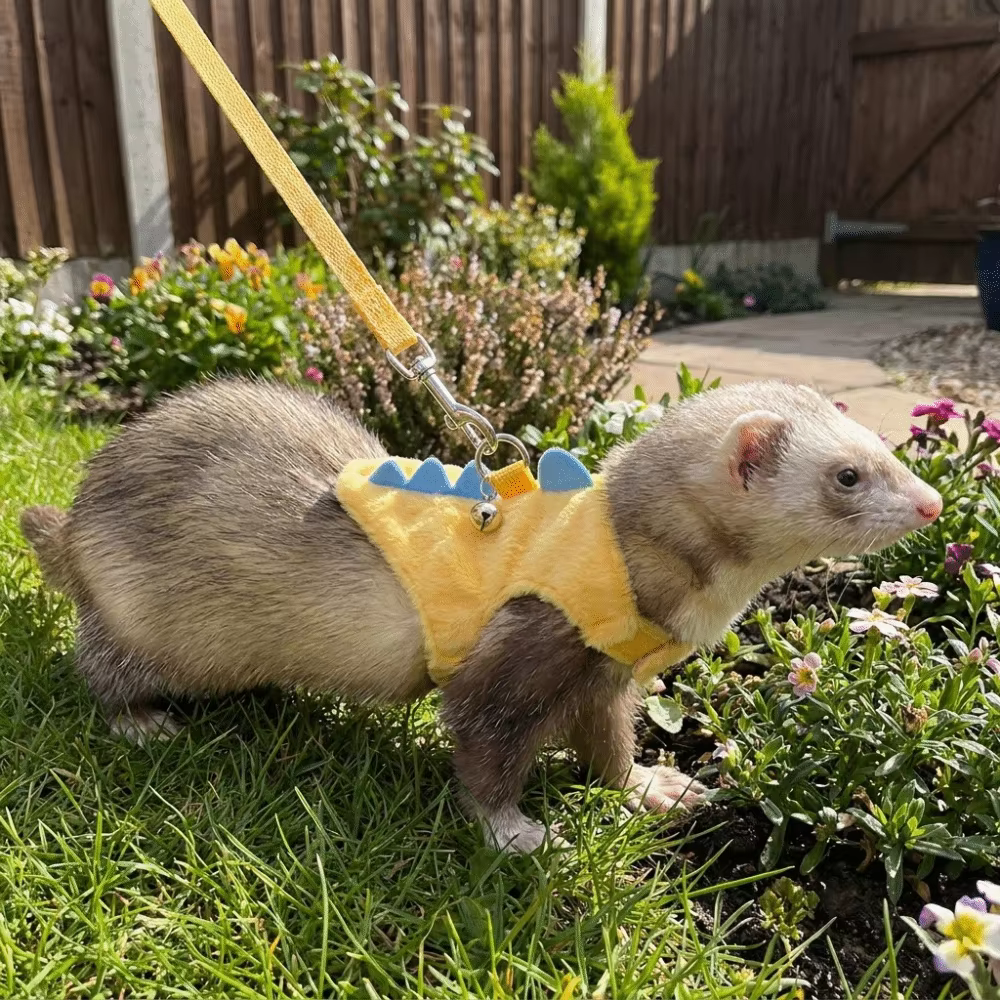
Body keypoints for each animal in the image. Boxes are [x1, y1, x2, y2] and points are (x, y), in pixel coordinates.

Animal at [20, 377, 942, 852]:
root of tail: (75, 522)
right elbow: (484, 743)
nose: (934, 502)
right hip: (149, 629)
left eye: (887, 449)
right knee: (97, 667)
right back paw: (141, 722)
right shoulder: (522, 653)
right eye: (849, 474)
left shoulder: (604, 679)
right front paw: (518, 832)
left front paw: (653, 787)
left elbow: (609, 745)